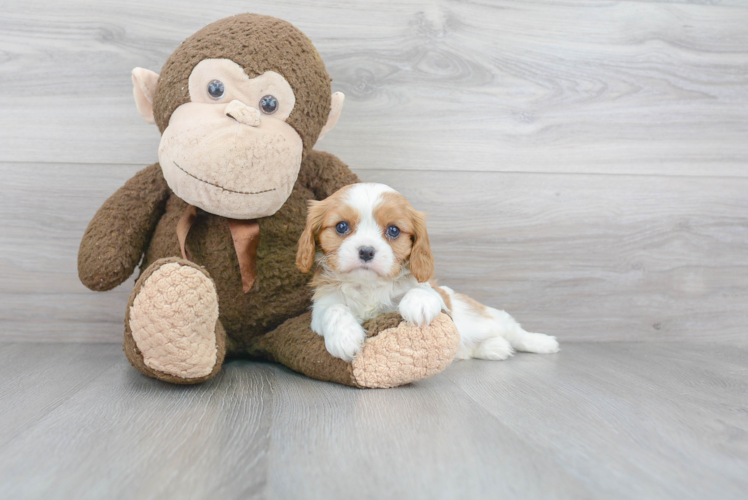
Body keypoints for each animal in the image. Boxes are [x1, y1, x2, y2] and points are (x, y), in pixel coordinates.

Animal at [296, 182, 560, 362]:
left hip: (492, 318)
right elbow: (334, 310)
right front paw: (345, 336)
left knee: (515, 331)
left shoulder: (442, 303)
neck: (369, 287)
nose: (366, 251)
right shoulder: (321, 308)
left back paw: (543, 342)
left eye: (393, 230)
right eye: (341, 226)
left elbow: (423, 292)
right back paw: (495, 348)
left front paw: (417, 305)